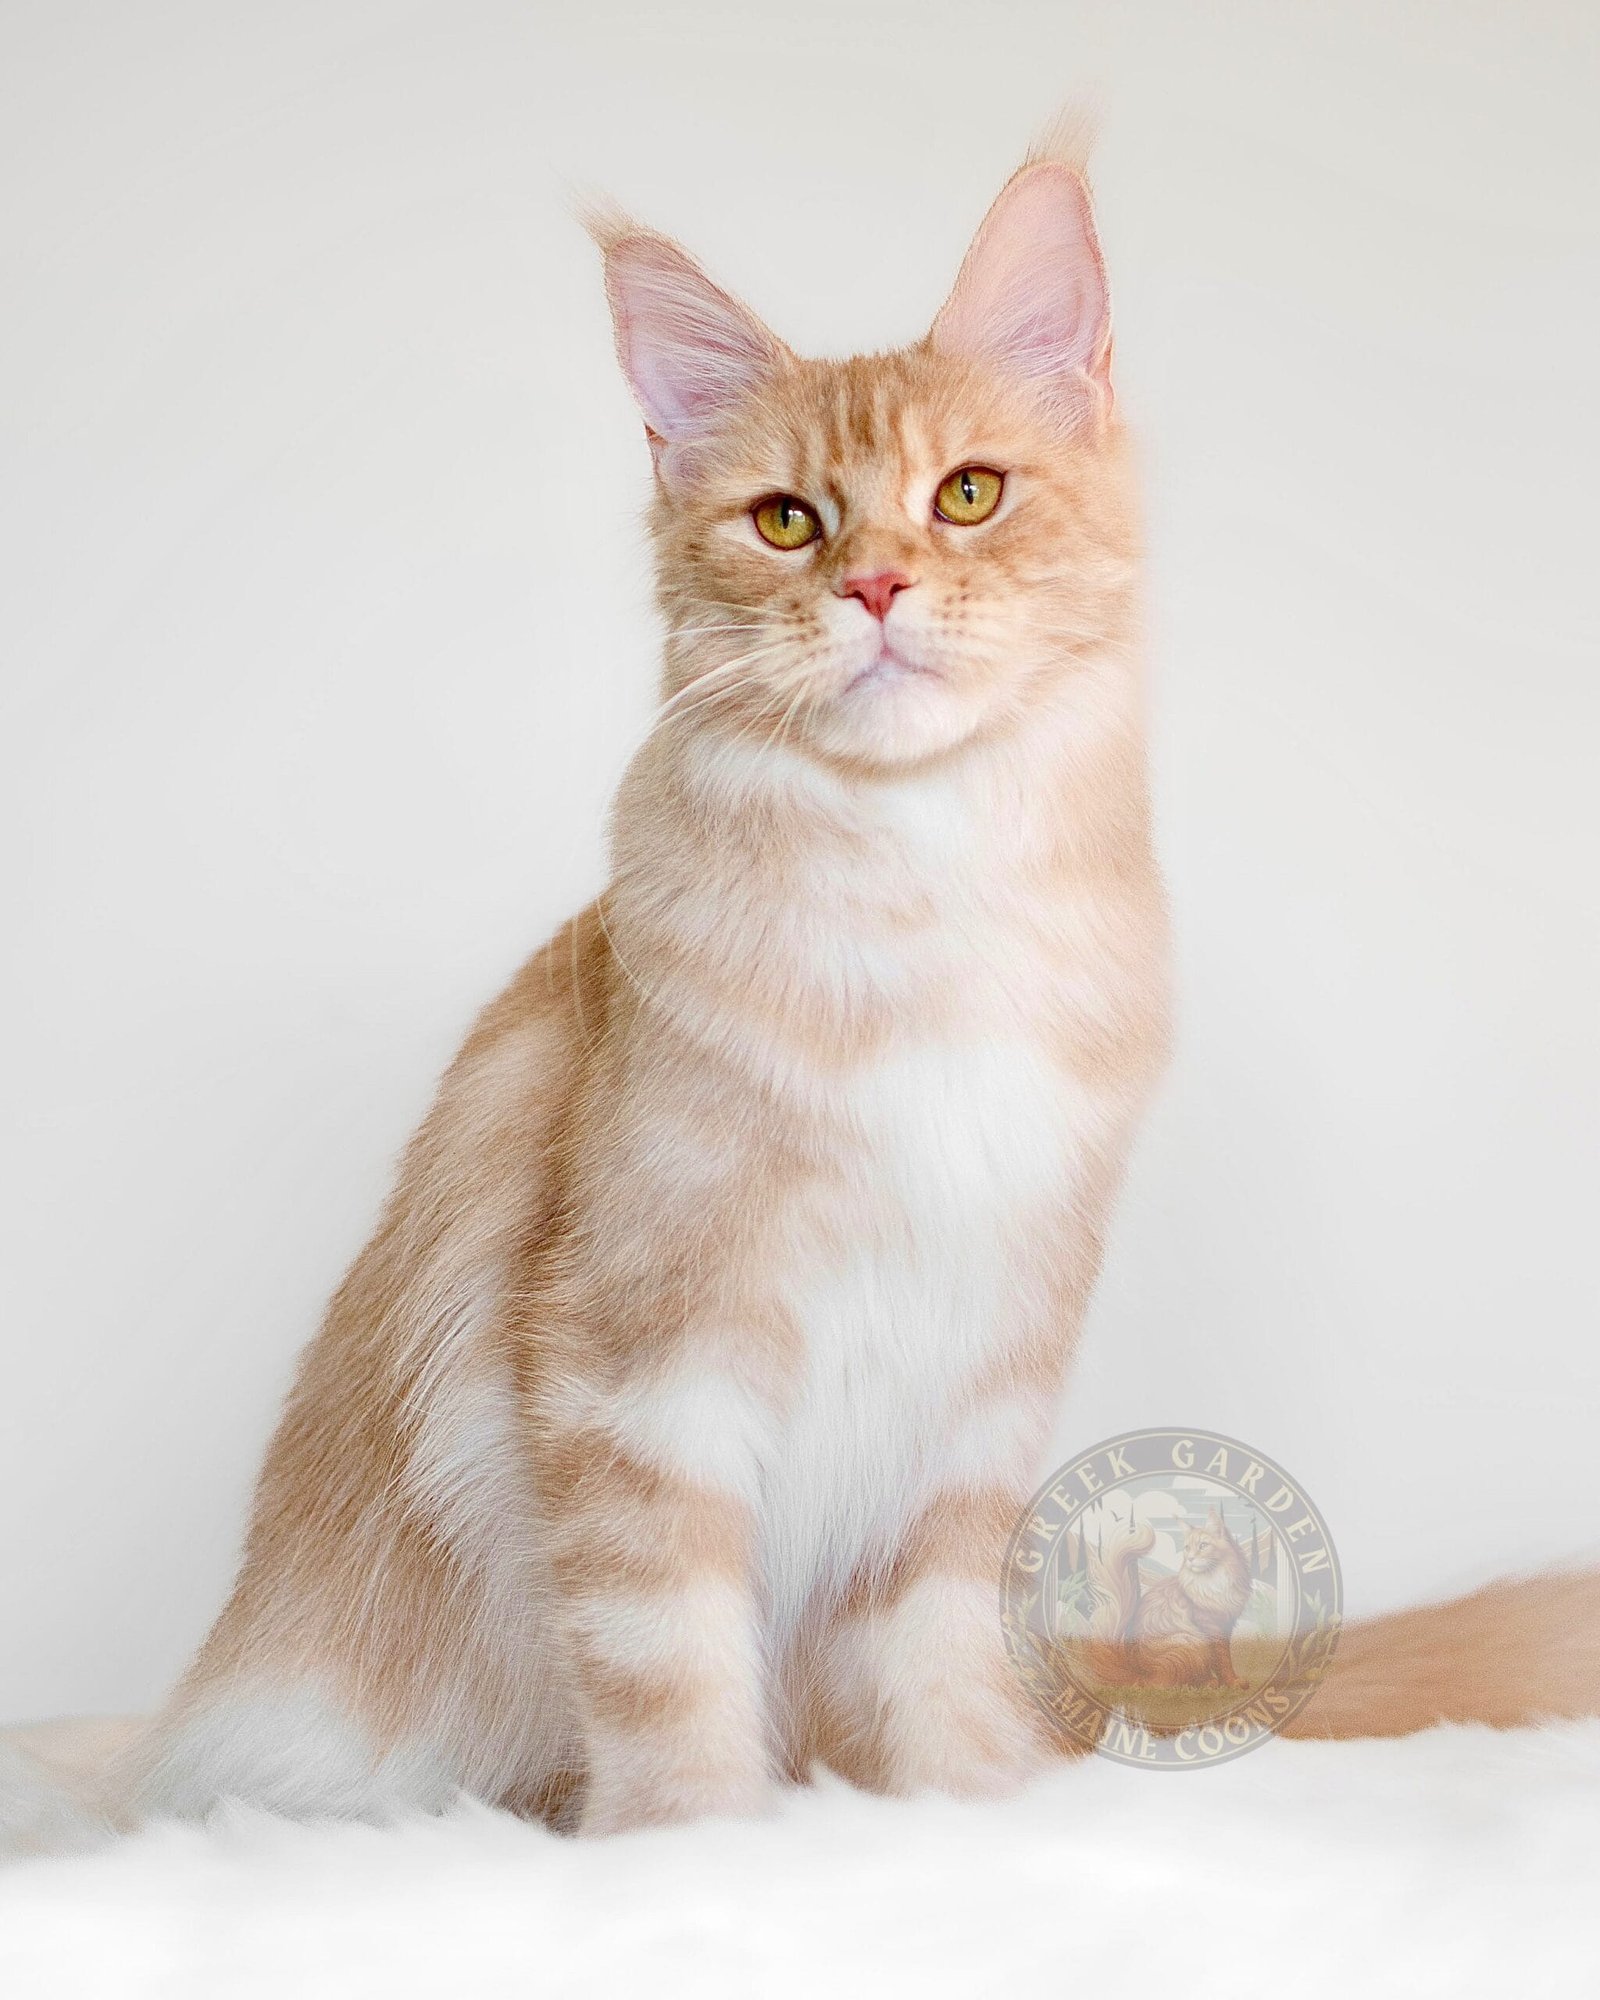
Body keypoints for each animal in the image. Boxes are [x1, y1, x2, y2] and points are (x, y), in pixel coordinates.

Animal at [1080, 1512, 1256, 1688]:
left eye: (1203, 1545)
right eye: (1187, 1548)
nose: (1190, 1558)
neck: (1214, 1582)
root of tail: (1138, 1673)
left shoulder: (1227, 1624)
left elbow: (1225, 1658)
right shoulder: (1211, 1627)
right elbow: (1223, 1660)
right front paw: (1234, 1683)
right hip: (1191, 1641)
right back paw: (1209, 1683)